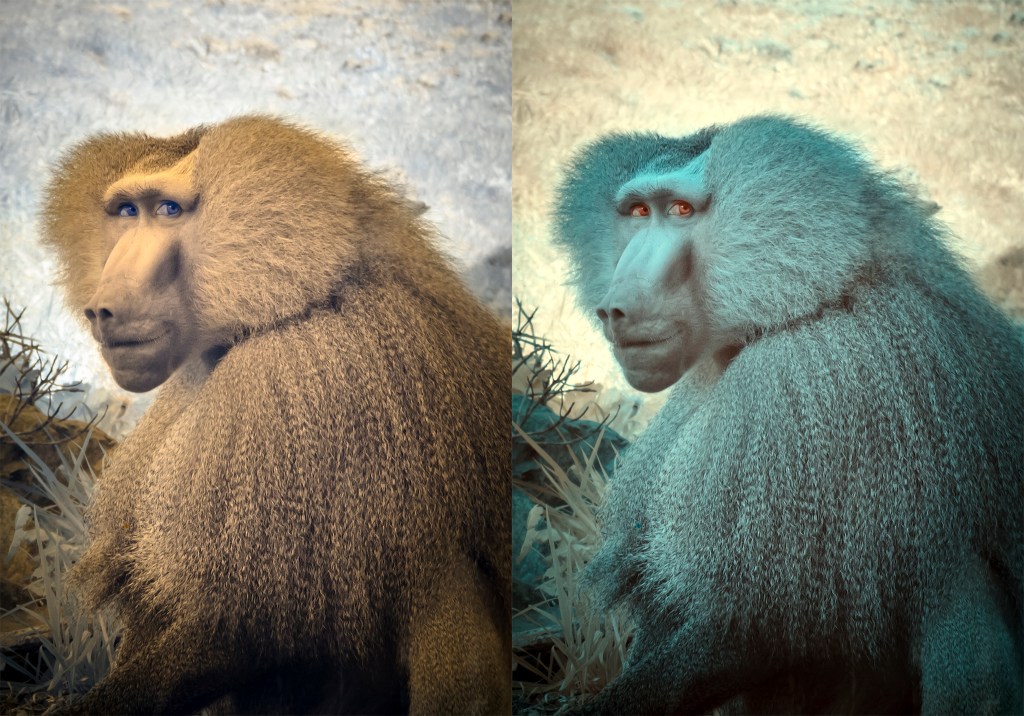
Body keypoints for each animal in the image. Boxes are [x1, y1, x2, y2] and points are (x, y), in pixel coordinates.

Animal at [39, 115, 510, 715]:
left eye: (168, 209)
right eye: (125, 212)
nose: (102, 309)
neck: (298, 300)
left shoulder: (292, 386)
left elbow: (249, 625)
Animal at [551, 115, 1023, 714]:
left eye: (680, 210)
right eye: (637, 212)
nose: (615, 308)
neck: (814, 299)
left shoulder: (807, 390)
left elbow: (760, 623)